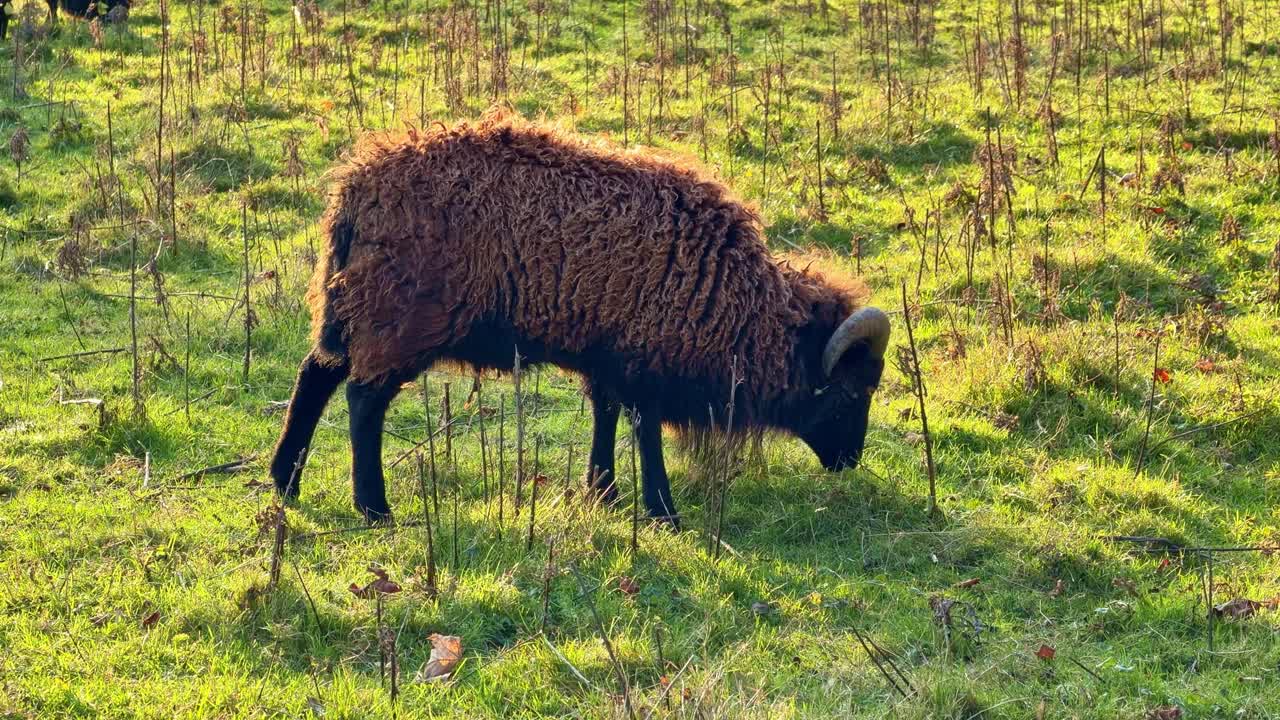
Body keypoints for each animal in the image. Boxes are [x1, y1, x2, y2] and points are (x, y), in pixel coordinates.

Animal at [269, 109, 890, 524]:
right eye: (851, 392)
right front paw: (661, 511)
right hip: (400, 315)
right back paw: (373, 507)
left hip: (353, 304)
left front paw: (604, 492)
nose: (850, 460)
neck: (729, 296)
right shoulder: (643, 359)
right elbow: (644, 429)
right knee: (362, 398)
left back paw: (285, 483)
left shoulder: (608, 352)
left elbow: (605, 415)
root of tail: (357, 186)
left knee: (316, 374)